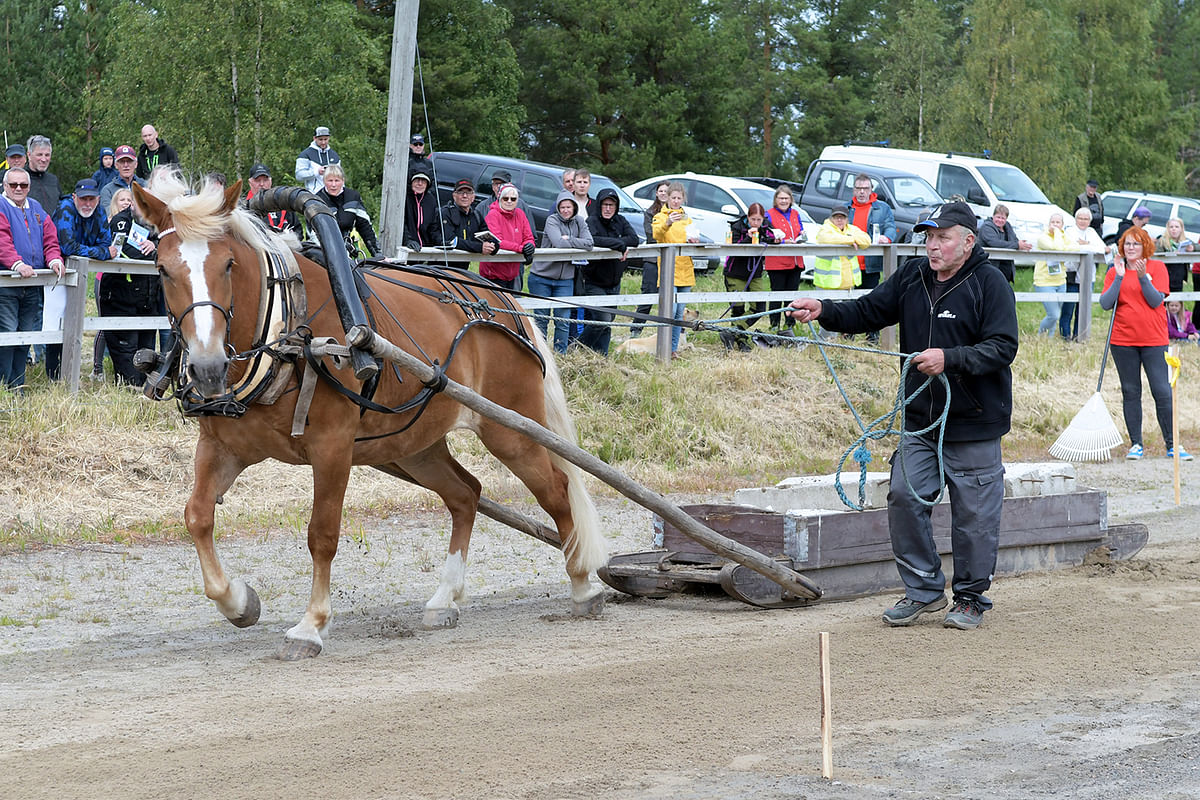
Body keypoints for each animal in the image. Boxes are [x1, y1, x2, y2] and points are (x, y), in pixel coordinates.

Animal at [131, 172, 609, 662]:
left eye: (227, 265)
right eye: (163, 270)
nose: (208, 368)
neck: (288, 330)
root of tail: (504, 304)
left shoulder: (332, 449)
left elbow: (321, 534)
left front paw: (311, 626)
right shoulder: (221, 446)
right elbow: (197, 517)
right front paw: (238, 602)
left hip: (510, 430)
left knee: (556, 490)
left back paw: (582, 586)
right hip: (416, 443)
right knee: (465, 495)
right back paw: (445, 598)